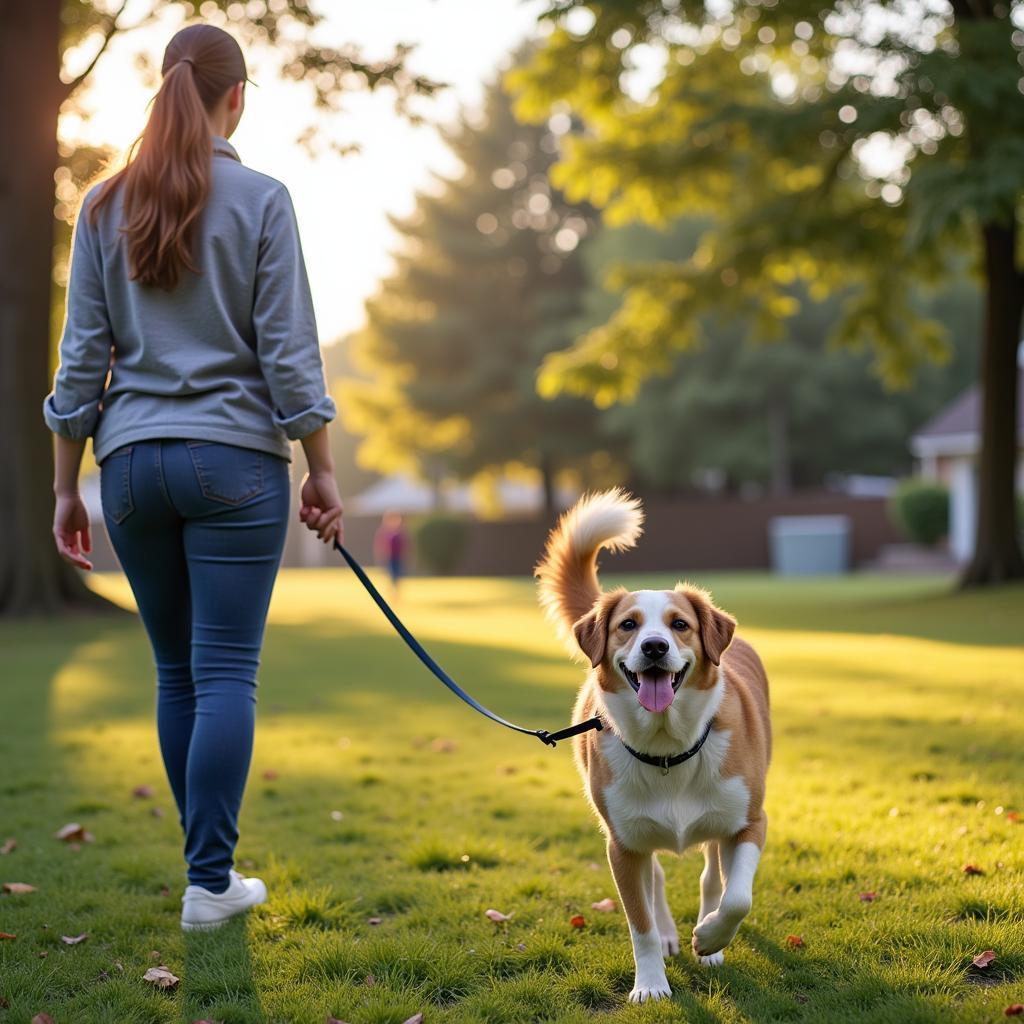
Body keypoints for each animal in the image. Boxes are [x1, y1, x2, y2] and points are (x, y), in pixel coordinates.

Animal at [536, 487, 770, 999]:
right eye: (628, 625)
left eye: (679, 625)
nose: (655, 647)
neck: (668, 748)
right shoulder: (622, 847)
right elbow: (638, 922)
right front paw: (650, 984)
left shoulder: (749, 821)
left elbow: (737, 896)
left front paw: (710, 937)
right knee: (658, 877)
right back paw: (667, 936)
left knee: (712, 875)